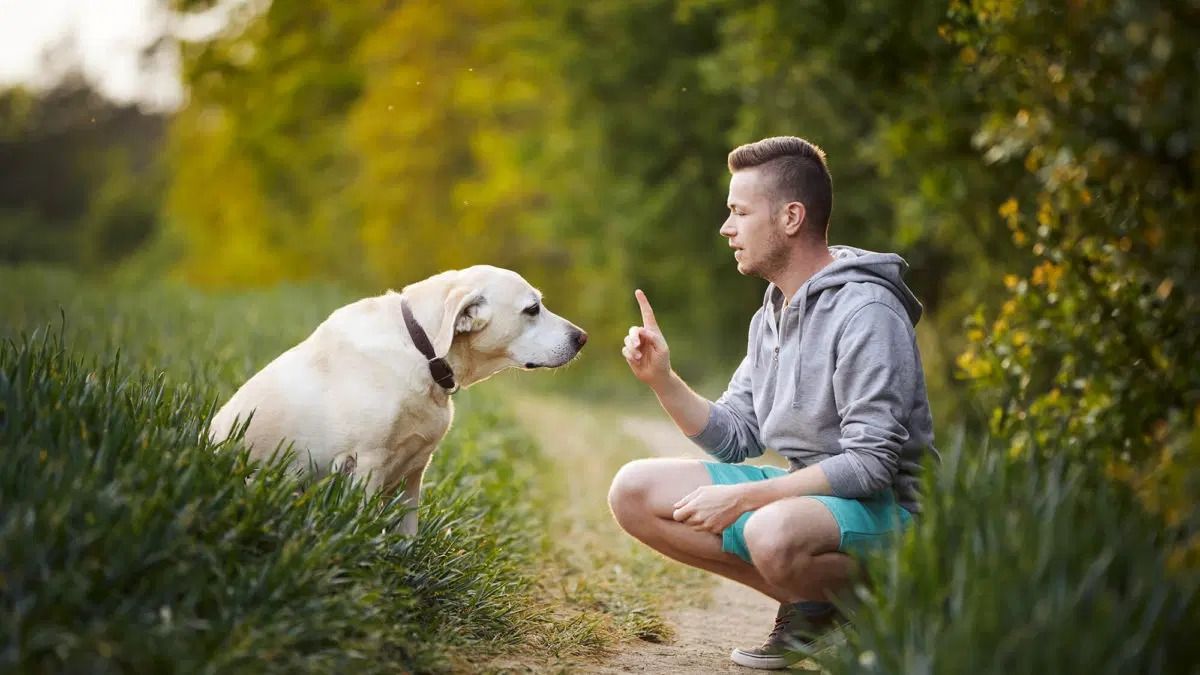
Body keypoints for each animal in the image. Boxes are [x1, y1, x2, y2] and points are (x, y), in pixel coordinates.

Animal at [210, 265, 585, 533]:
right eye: (532, 309)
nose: (582, 338)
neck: (424, 352)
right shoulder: (366, 463)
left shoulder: (414, 471)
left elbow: (407, 534)